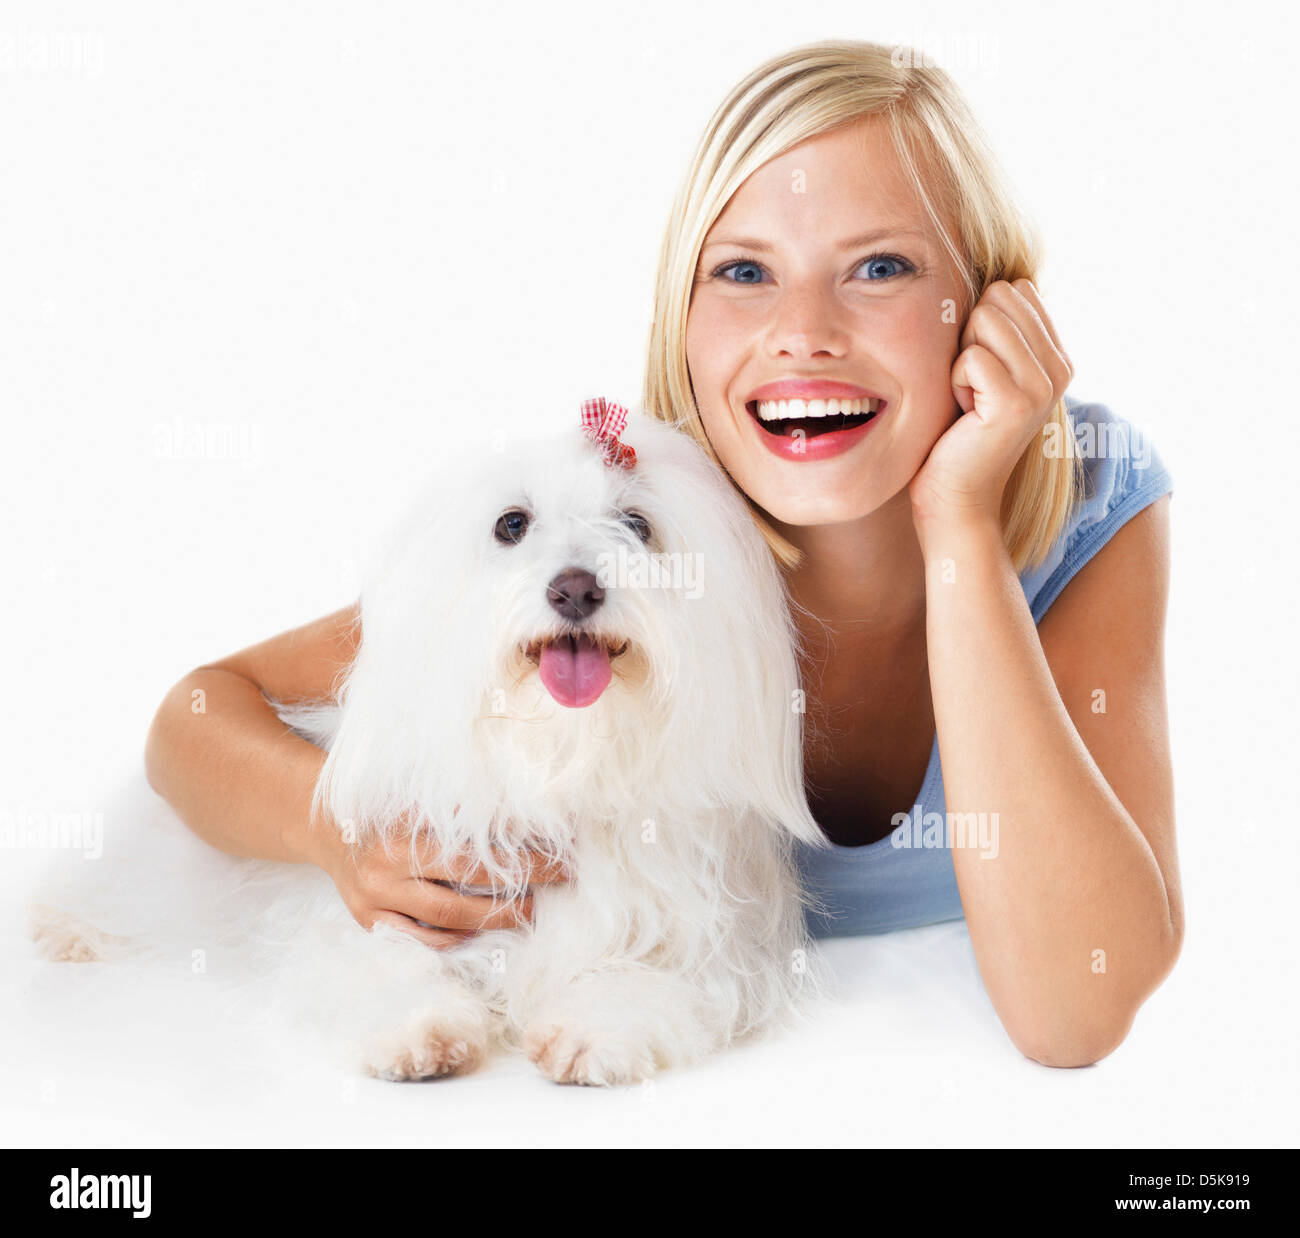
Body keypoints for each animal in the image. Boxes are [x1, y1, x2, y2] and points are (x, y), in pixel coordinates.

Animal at [30, 403, 832, 1081]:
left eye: (636, 525)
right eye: (512, 524)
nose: (575, 588)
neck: (563, 761)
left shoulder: (697, 937)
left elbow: (648, 976)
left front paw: (595, 1028)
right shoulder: (375, 912)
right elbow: (385, 962)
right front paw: (421, 1029)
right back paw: (67, 929)